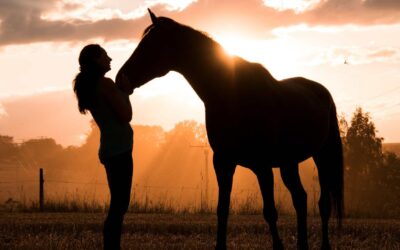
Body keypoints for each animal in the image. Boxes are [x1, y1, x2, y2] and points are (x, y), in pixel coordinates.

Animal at [116, 9, 344, 250]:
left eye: (150, 45)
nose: (120, 78)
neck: (232, 94)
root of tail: (322, 92)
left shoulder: (262, 165)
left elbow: (270, 212)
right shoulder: (223, 162)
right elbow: (222, 209)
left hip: (322, 156)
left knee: (323, 203)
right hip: (288, 162)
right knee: (300, 198)